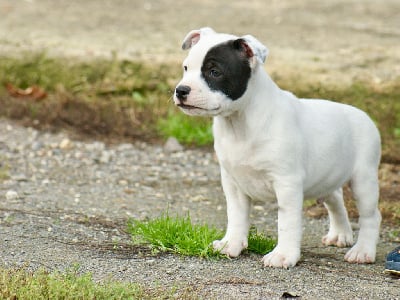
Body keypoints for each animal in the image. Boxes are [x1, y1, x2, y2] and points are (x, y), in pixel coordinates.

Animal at [172, 27, 382, 268]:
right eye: (186, 68)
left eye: (214, 72)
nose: (181, 90)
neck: (239, 123)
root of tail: (363, 115)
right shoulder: (233, 183)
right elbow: (236, 215)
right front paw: (230, 244)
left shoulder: (287, 183)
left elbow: (287, 222)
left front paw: (283, 255)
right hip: (328, 177)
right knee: (336, 199)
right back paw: (340, 234)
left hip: (364, 179)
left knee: (371, 216)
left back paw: (363, 251)